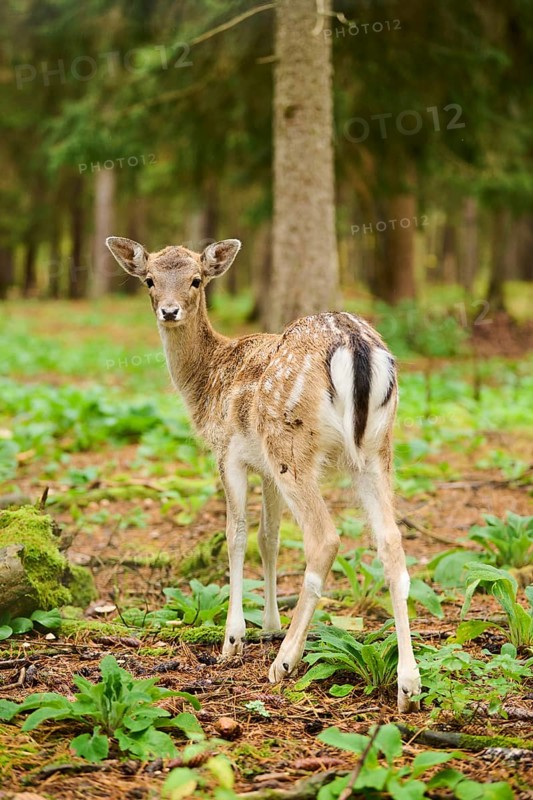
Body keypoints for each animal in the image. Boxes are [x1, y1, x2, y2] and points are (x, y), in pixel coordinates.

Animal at [106, 236, 421, 712]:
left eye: (196, 279)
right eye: (150, 280)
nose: (169, 311)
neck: (206, 384)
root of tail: (353, 345)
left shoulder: (229, 453)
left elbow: (235, 534)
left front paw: (233, 640)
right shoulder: (265, 470)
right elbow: (267, 538)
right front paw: (269, 624)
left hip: (290, 443)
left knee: (324, 538)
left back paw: (285, 662)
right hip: (376, 448)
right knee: (391, 542)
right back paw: (409, 685)